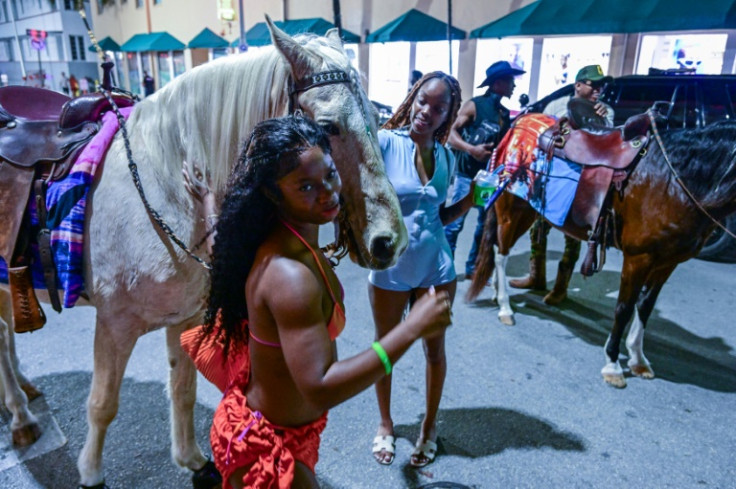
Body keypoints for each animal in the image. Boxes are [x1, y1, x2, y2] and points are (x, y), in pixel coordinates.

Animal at [0, 18, 408, 484]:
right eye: (328, 127)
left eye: (377, 118)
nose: (390, 241)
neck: (166, 187)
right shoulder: (115, 324)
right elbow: (102, 405)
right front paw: (91, 474)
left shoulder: (186, 316)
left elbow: (182, 389)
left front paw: (191, 459)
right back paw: (20, 415)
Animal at [468, 116, 736, 386]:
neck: (671, 184)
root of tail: (519, 123)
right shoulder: (638, 258)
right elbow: (624, 308)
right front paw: (613, 364)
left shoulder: (667, 262)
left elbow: (645, 307)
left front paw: (638, 359)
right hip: (512, 210)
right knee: (501, 255)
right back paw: (505, 308)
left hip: (527, 211)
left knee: (498, 249)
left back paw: (497, 294)